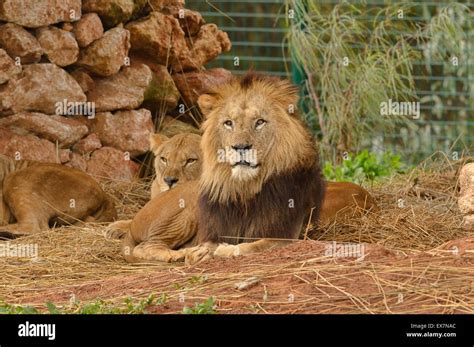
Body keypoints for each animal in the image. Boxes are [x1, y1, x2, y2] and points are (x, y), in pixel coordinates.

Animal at [117, 72, 378, 264]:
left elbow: (251, 246)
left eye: (259, 122)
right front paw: (199, 252)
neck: (246, 188)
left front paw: (222, 251)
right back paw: (177, 254)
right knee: (145, 246)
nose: (240, 147)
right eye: (228, 123)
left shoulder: (285, 235)